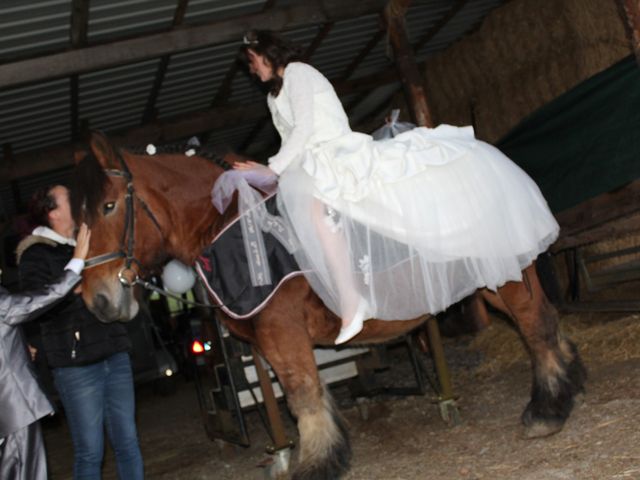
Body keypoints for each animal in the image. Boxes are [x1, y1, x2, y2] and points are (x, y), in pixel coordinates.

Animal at [72, 132, 584, 480]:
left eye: (109, 207)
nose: (98, 300)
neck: (230, 223)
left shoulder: (283, 331)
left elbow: (302, 396)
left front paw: (316, 465)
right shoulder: (264, 343)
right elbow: (304, 395)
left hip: (505, 274)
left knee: (535, 325)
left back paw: (546, 412)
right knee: (545, 322)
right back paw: (569, 382)